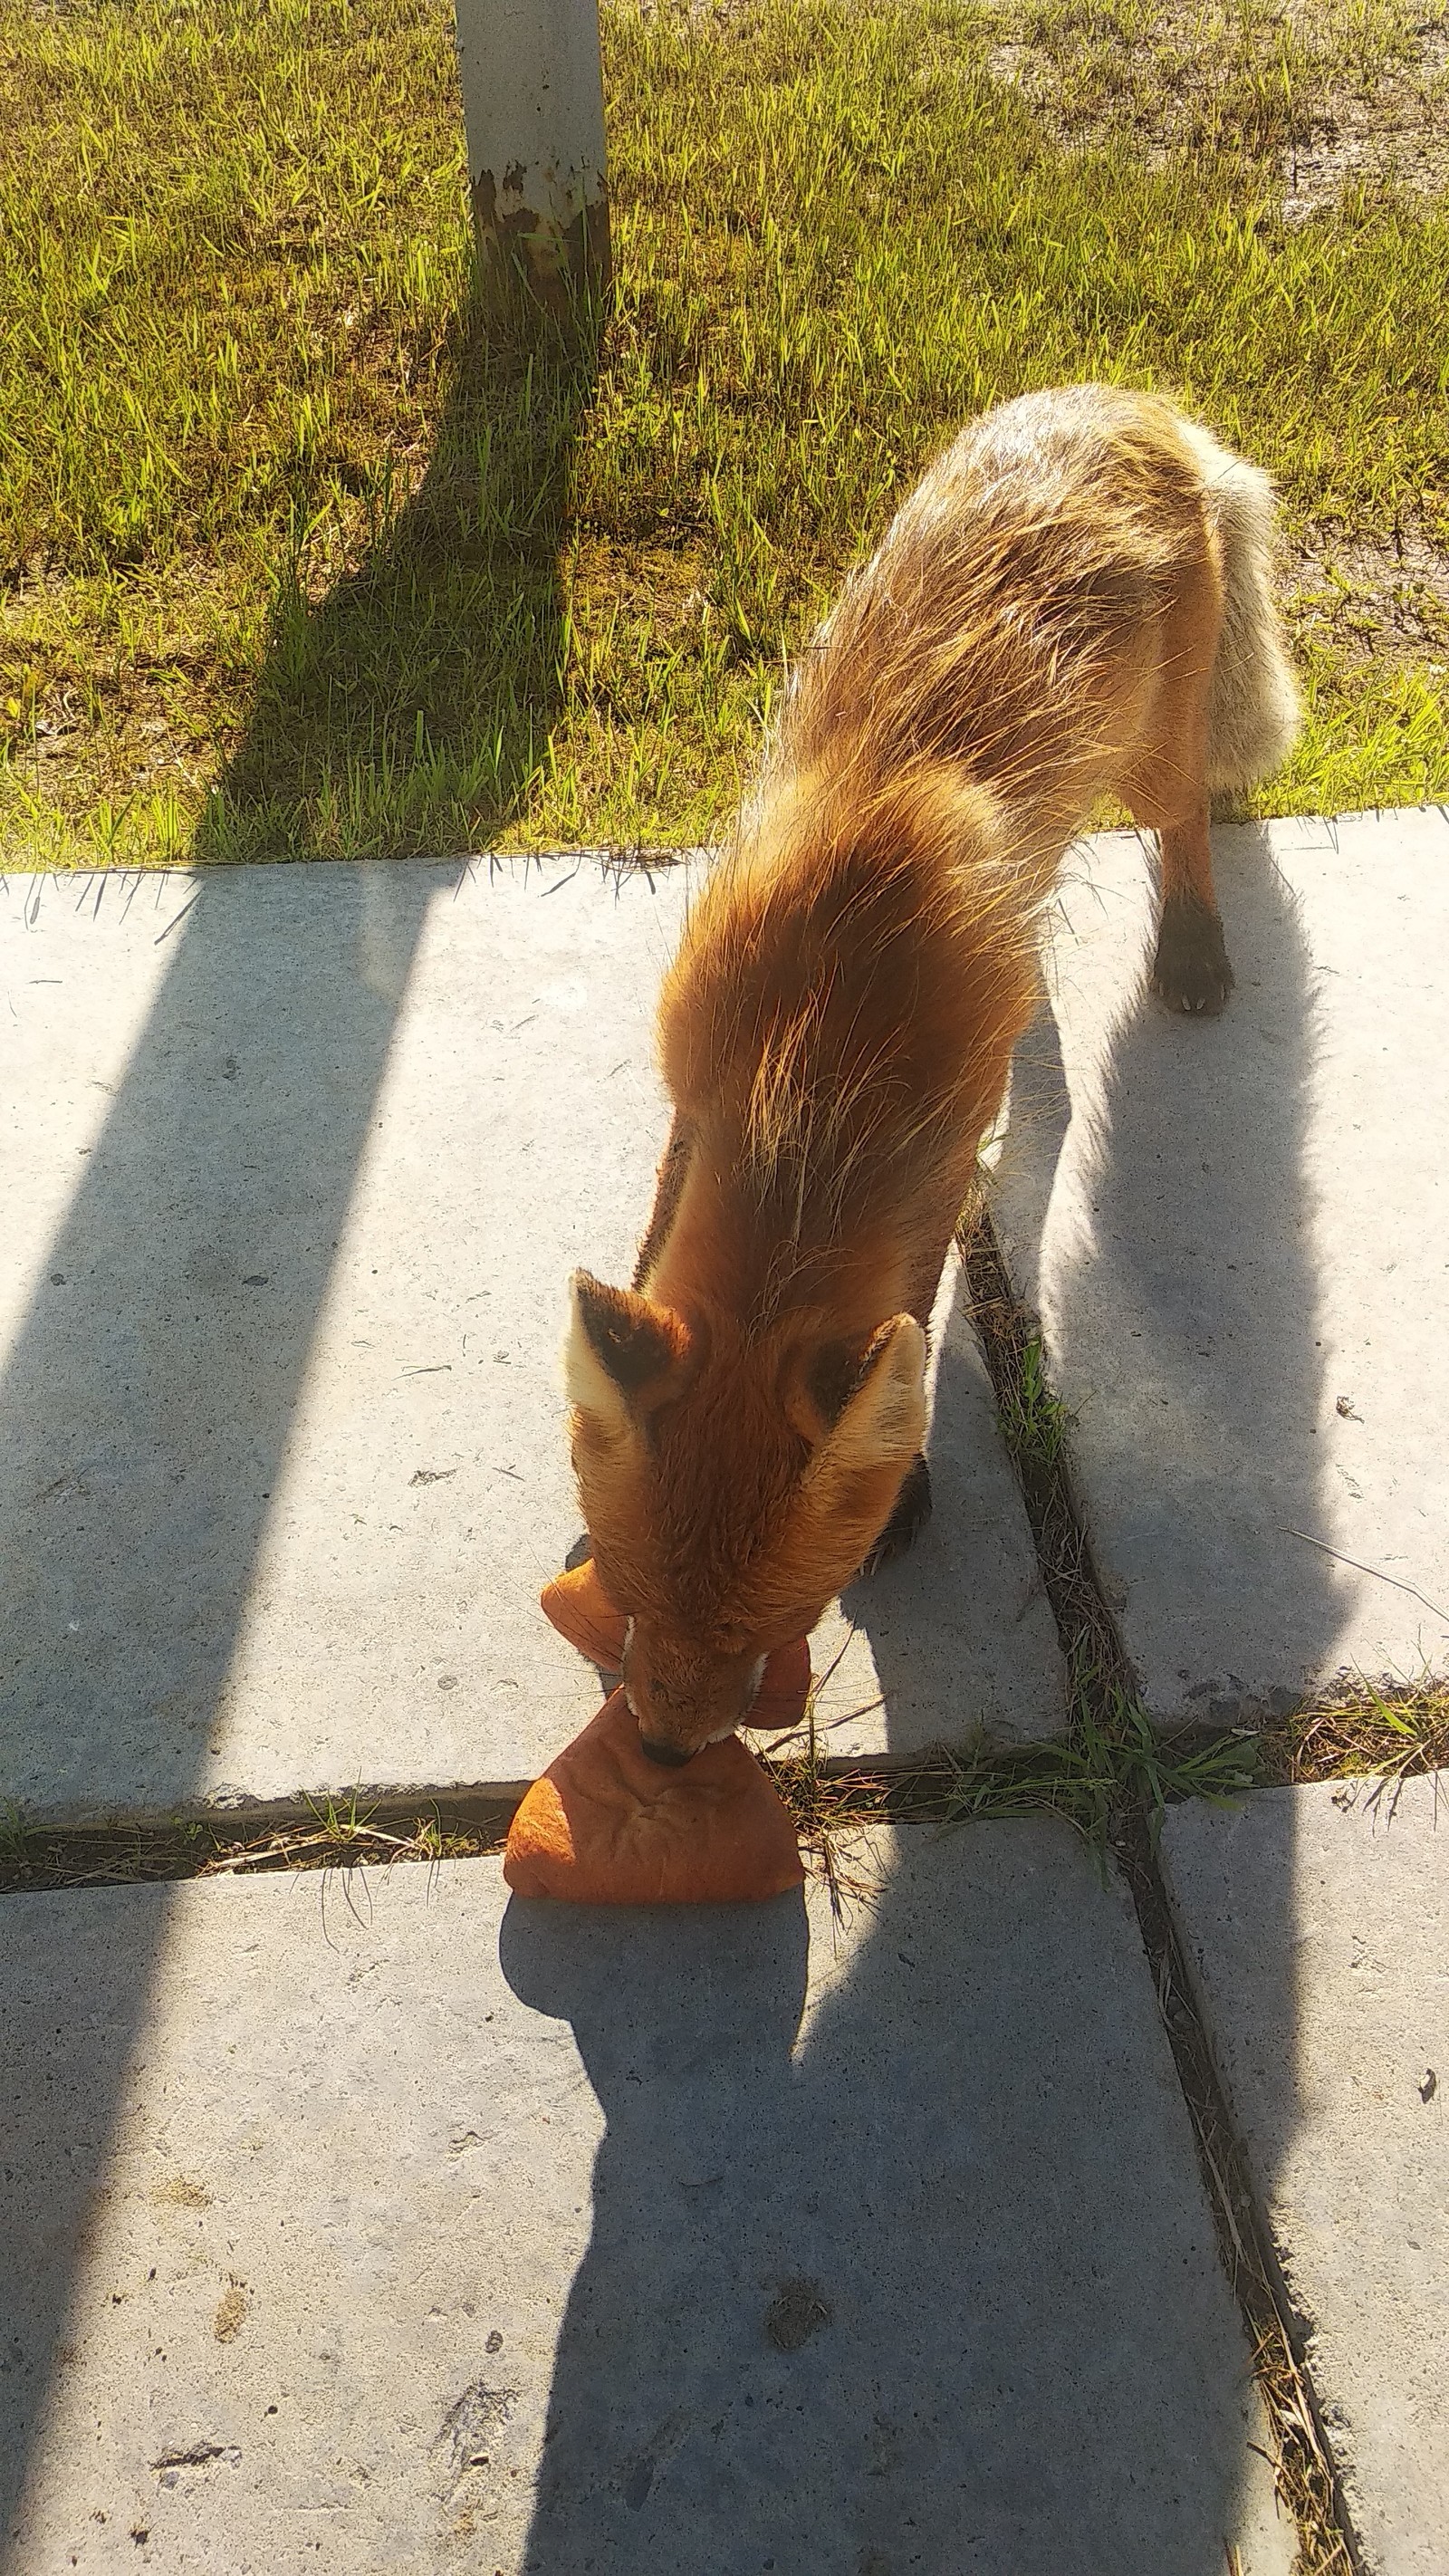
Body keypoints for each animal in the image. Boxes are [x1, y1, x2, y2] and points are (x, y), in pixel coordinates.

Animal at [561, 386, 1297, 1772]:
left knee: (1183, 823)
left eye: (777, 1626)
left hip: (1146, 757)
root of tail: (1133, 400)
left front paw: (907, 1484)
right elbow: (655, 1232)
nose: (667, 1753)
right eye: (628, 1601)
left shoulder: (945, 1142)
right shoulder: (698, 1078)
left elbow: (911, 1295)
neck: (809, 1043)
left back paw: (1192, 946)